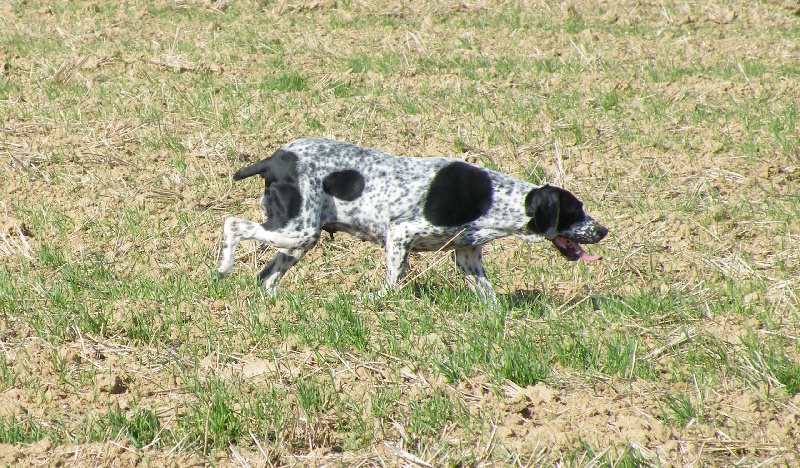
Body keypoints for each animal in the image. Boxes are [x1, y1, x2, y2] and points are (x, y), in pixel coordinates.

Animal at [219, 137, 608, 302]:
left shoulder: (467, 257)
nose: (603, 230)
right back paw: (223, 267)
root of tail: (273, 159)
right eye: (576, 210)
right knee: (232, 224)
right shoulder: (400, 233)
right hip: (296, 231)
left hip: (299, 238)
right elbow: (392, 284)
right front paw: (372, 299)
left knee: (266, 278)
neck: (494, 199)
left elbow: (490, 299)